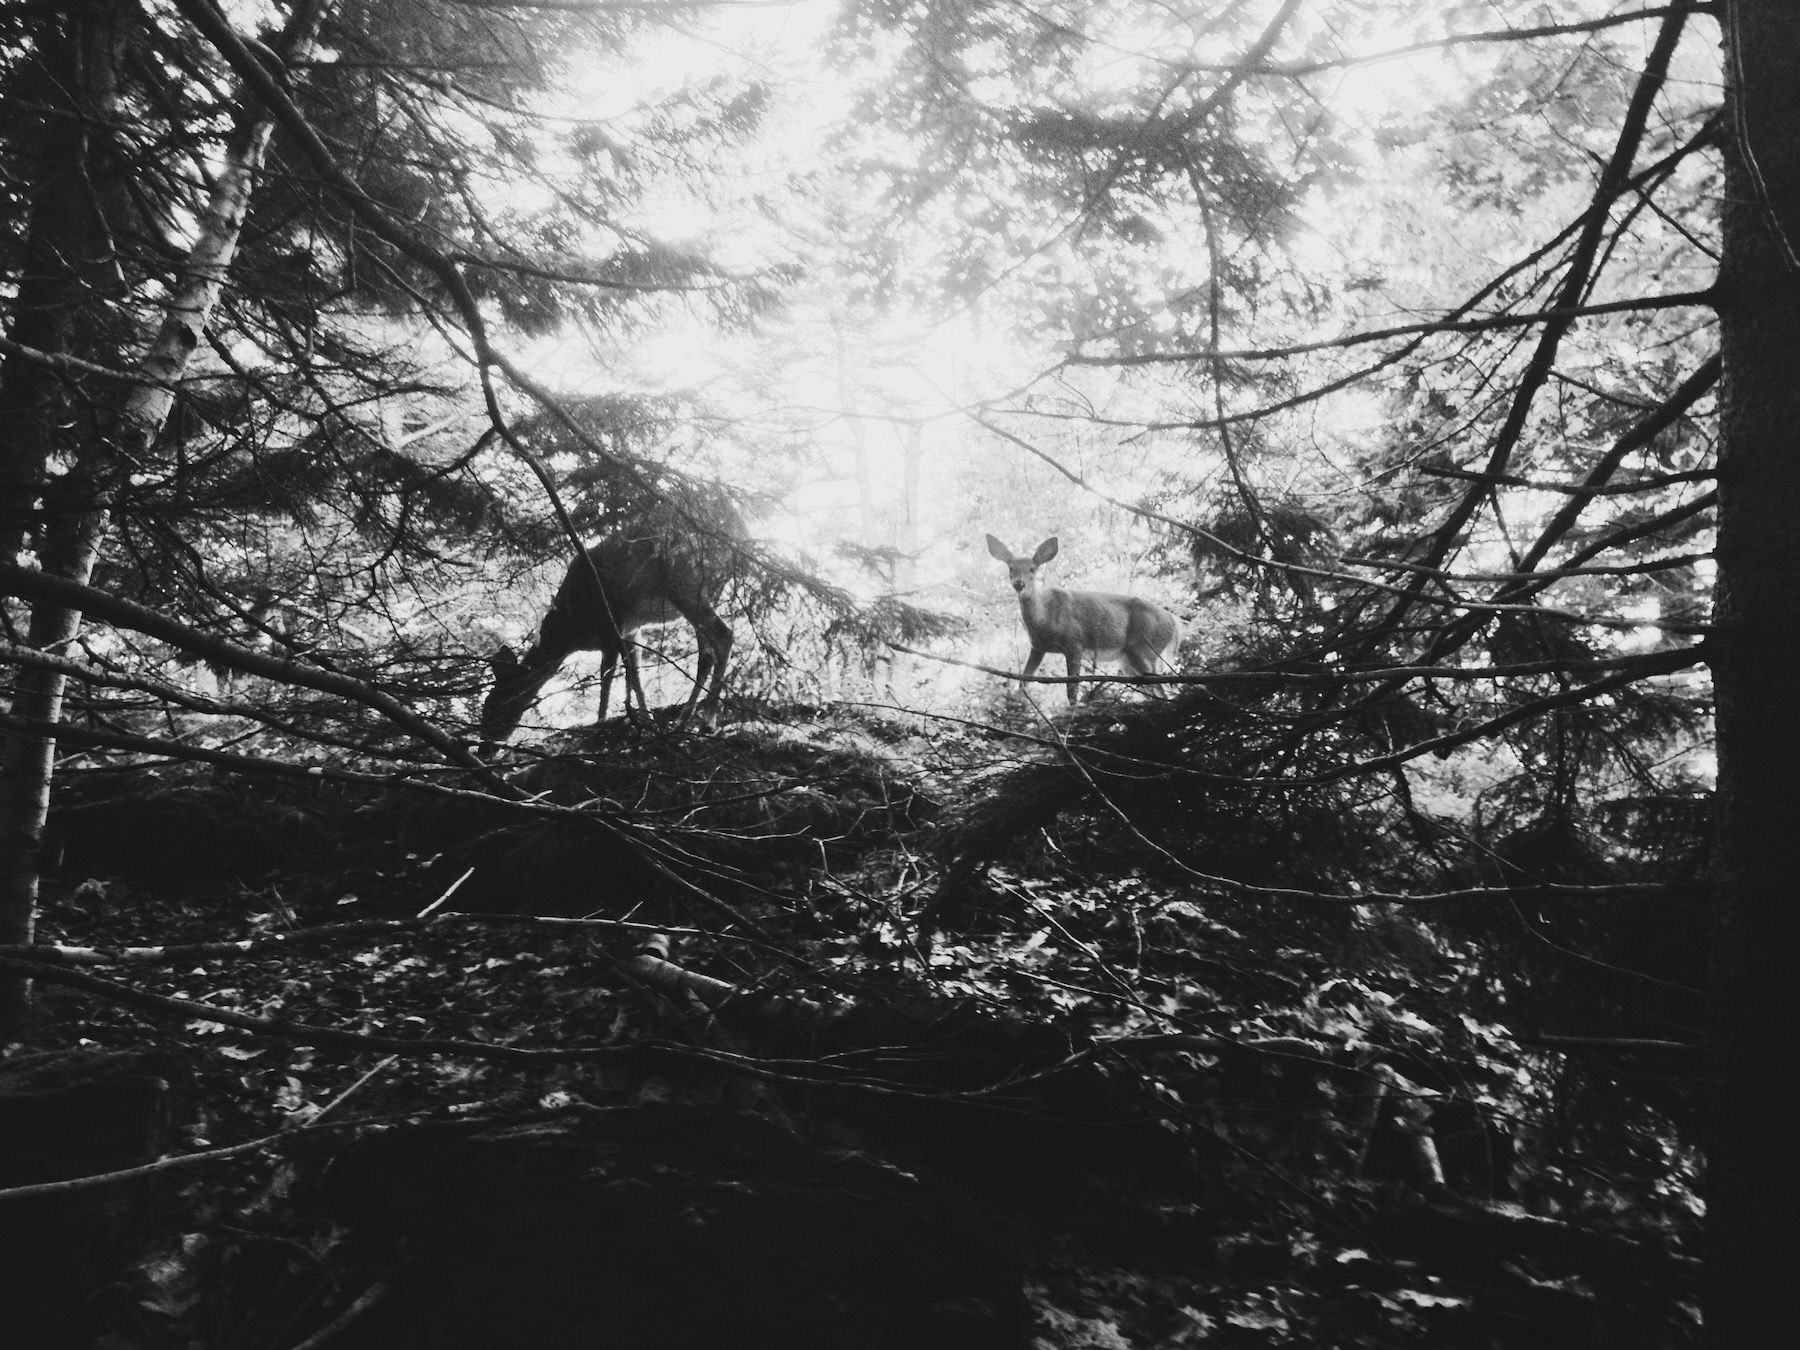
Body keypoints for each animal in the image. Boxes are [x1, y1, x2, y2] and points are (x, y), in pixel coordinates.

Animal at [478, 522, 738, 752]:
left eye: (493, 706)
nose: (483, 750)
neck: (571, 631)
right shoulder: (630, 632)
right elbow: (635, 677)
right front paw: (646, 721)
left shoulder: (610, 625)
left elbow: (607, 678)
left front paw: (600, 724)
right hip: (701, 592)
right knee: (707, 655)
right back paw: (684, 722)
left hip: (685, 583)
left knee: (724, 635)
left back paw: (708, 720)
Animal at [986, 536, 1180, 709]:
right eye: (1011, 568)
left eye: (1032, 569)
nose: (1019, 584)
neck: (1044, 619)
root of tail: (1175, 623)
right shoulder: (1038, 647)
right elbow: (1023, 682)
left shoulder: (1074, 642)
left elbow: (1071, 687)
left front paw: (1074, 709)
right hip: (1128, 660)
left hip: (1143, 646)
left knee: (1160, 687)